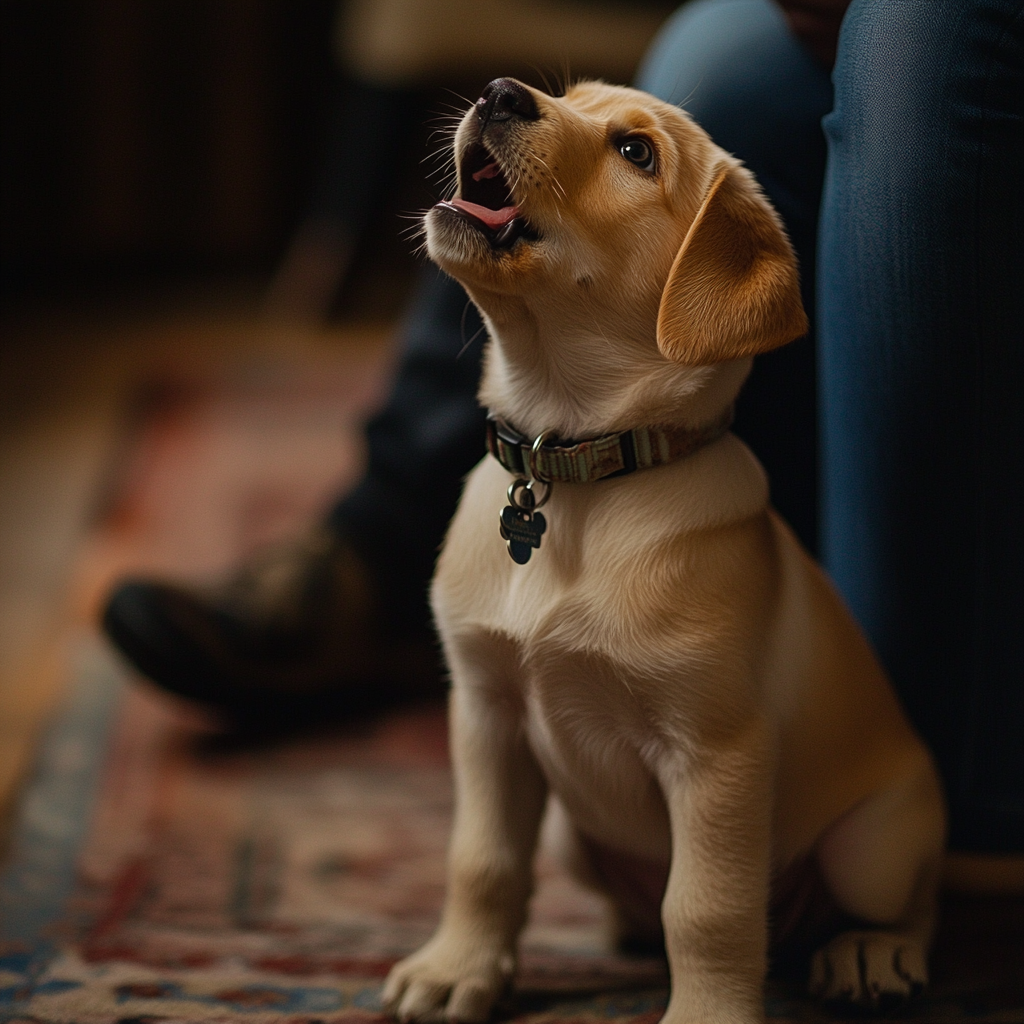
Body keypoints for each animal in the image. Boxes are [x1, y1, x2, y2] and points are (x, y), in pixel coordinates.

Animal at [382, 77, 942, 1024]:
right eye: (565, 96)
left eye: (637, 153)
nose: (500, 92)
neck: (573, 469)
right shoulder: (487, 712)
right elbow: (482, 860)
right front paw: (459, 969)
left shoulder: (717, 753)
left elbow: (708, 908)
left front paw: (708, 1011)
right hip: (570, 835)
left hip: (872, 843)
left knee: (903, 900)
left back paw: (872, 953)